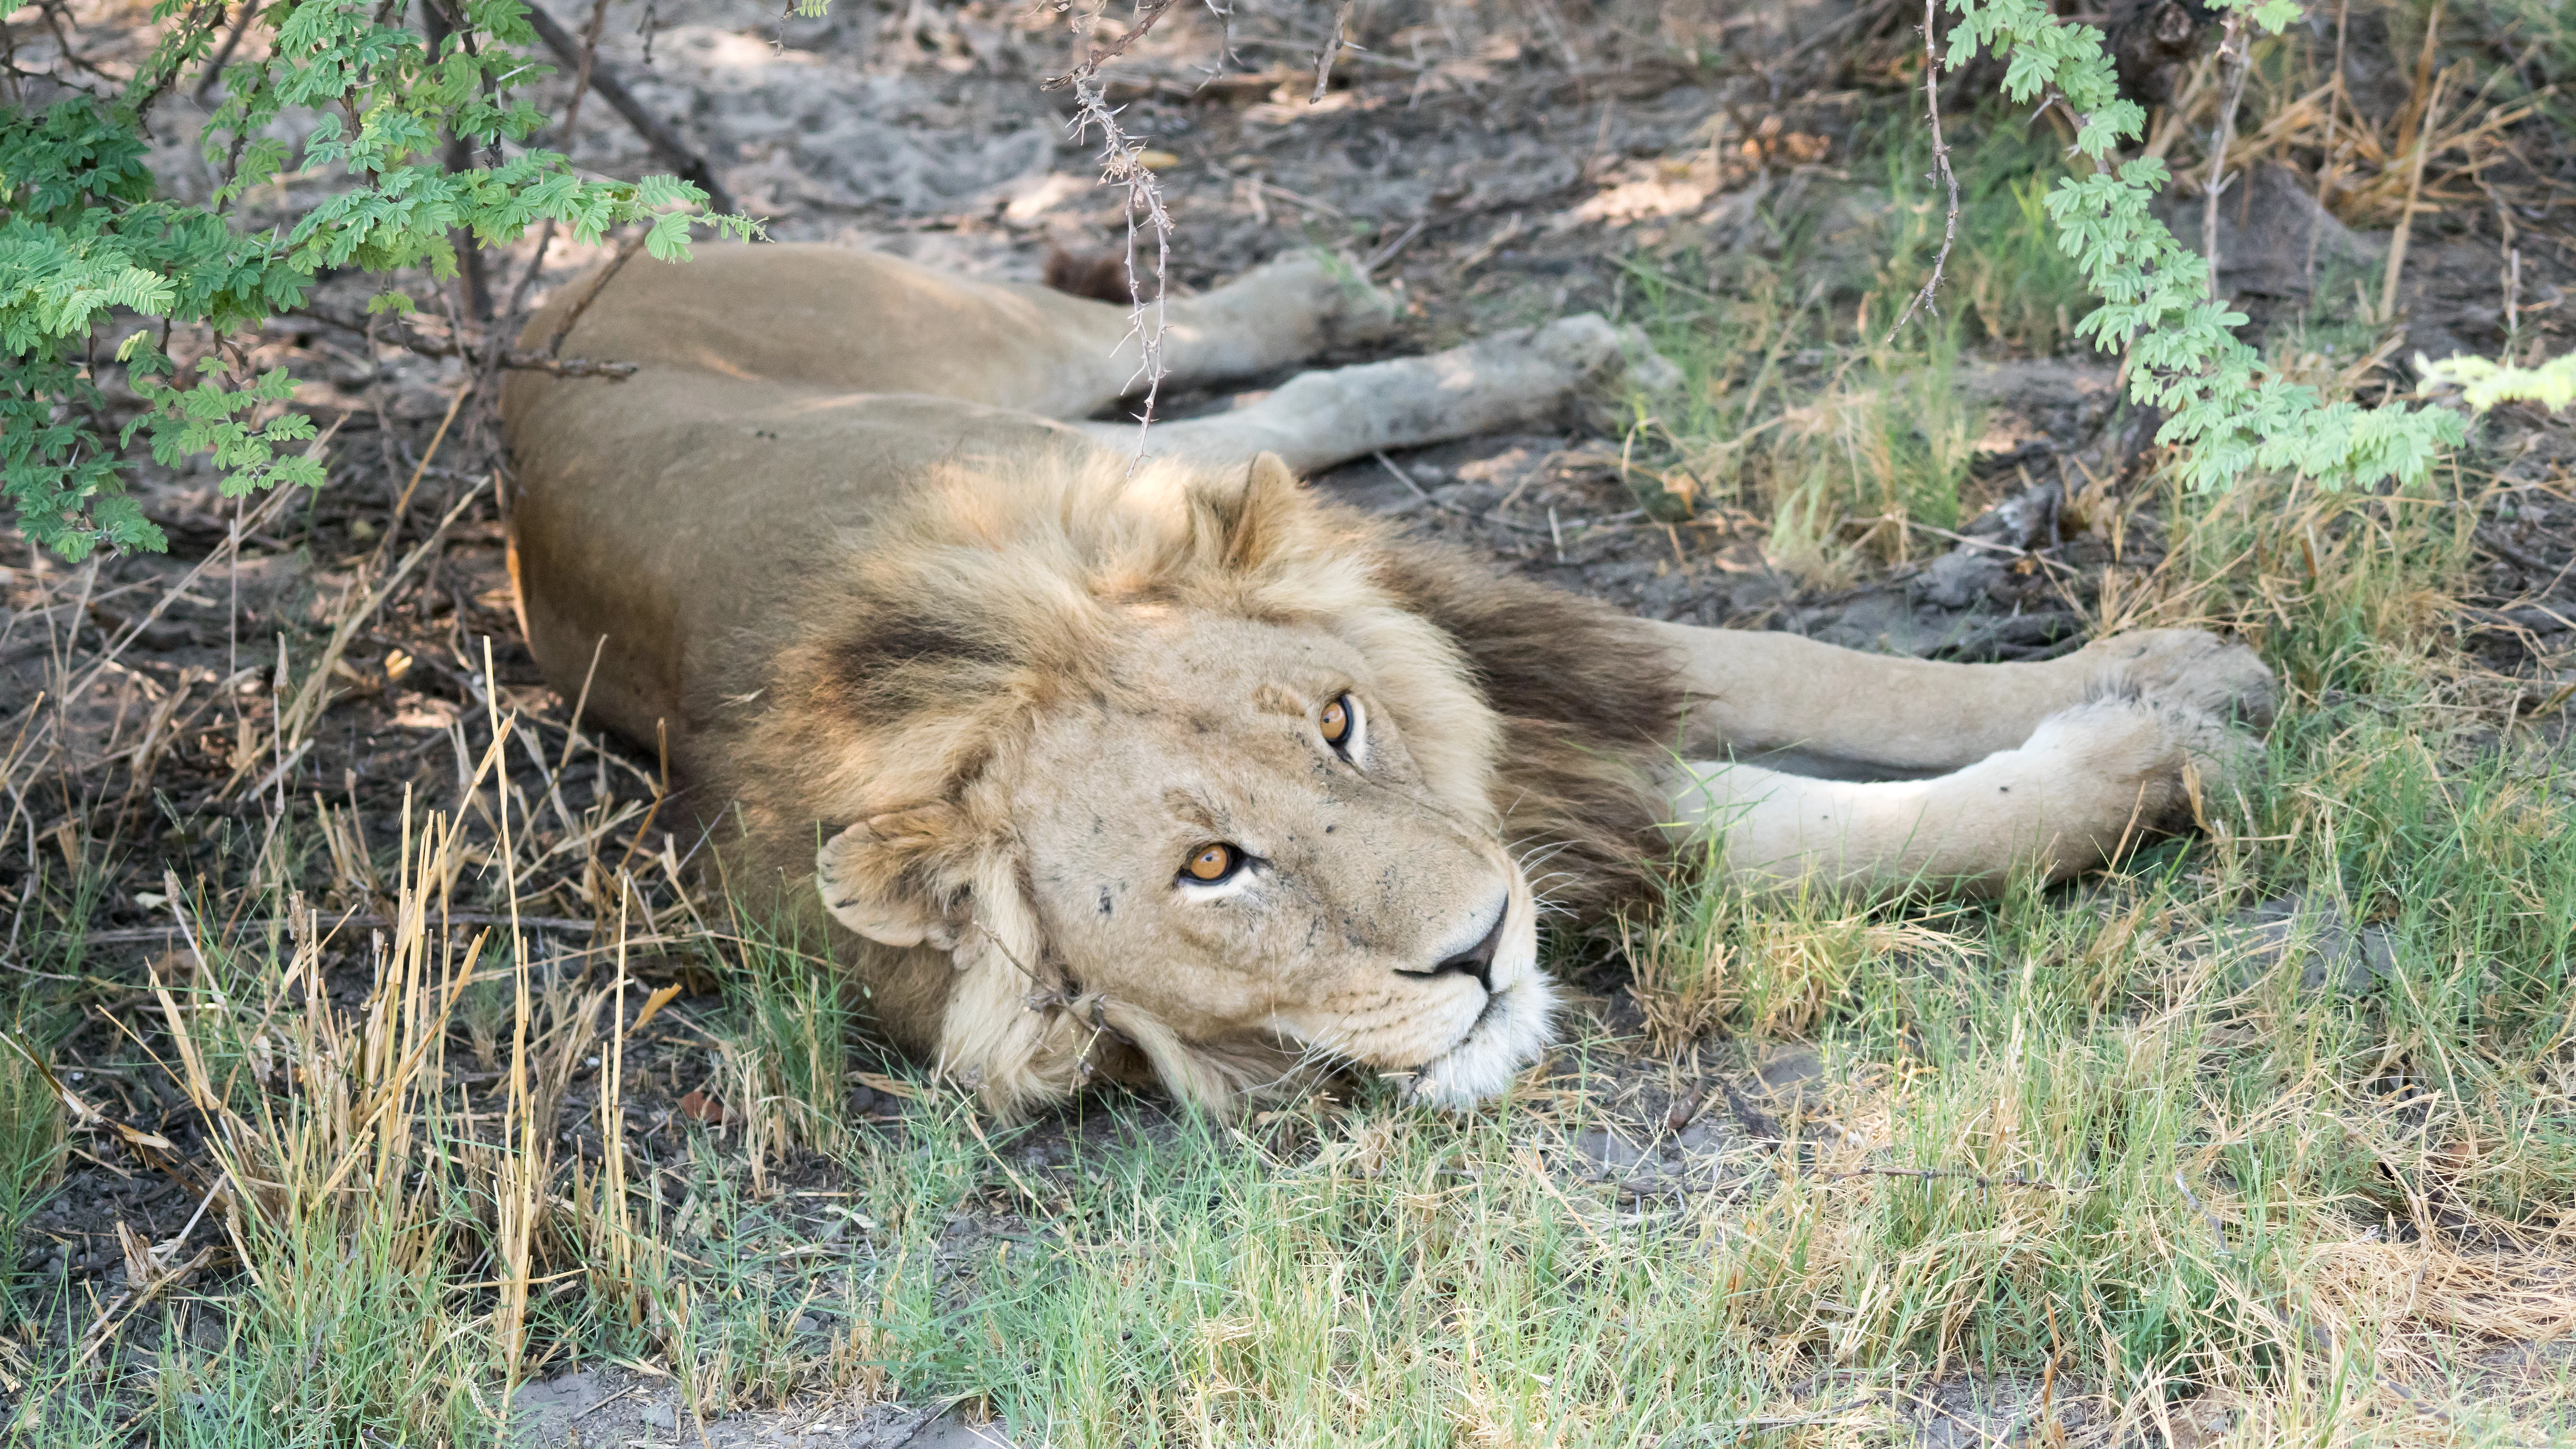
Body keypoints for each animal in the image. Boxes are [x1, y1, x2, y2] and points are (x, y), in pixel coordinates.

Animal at [499, 243, 2273, 1117]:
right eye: (1211, 867)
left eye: (1339, 724)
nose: (1481, 951)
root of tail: (549, 318)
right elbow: (1812, 829)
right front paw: (2139, 759)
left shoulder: (1495, 644)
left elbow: (1805, 670)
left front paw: (2172, 673)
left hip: (979, 365)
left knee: (1202, 372)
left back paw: (1429, 318)